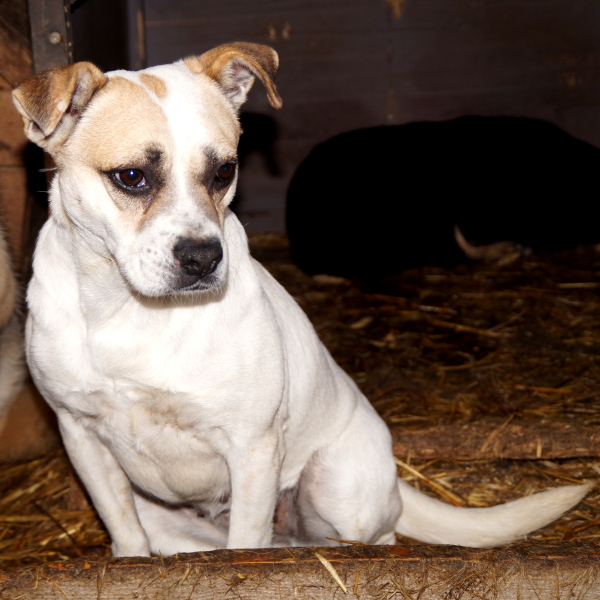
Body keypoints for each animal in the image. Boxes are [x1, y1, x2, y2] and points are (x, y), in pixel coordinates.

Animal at [11, 43, 588, 556]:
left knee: (370, 540)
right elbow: (125, 536)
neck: (129, 312)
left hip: (336, 487)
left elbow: (245, 548)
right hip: (170, 522)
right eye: (131, 177)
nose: (204, 257)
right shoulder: (81, 437)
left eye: (224, 171)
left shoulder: (251, 447)